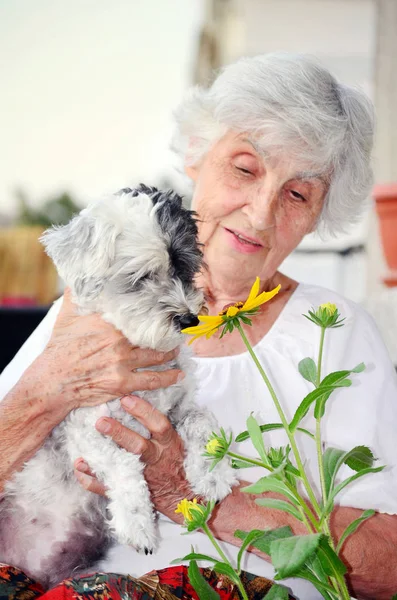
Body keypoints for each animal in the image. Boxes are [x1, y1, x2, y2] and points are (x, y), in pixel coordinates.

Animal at [0, 185, 235, 588]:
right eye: (139, 277)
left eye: (184, 268)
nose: (188, 319)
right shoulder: (88, 430)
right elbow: (125, 465)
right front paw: (138, 525)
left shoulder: (179, 408)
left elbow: (202, 424)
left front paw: (212, 472)